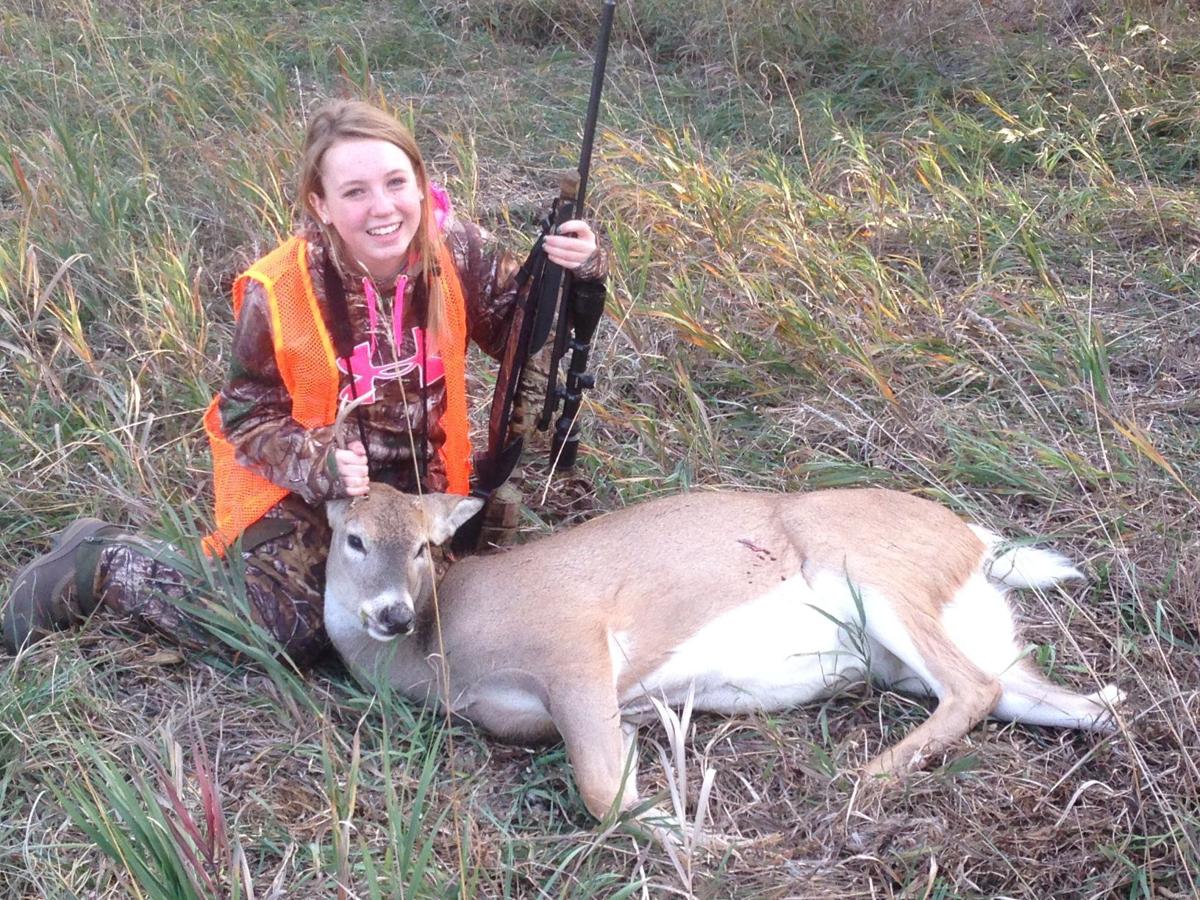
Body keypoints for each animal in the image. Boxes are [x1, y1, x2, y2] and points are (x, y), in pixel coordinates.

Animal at [323, 483, 1123, 836]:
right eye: (353, 537)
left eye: (422, 545)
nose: (391, 613)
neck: (441, 651)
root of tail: (980, 544)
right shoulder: (560, 710)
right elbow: (615, 774)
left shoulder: (573, 642)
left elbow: (600, 791)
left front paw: (702, 839)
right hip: (963, 635)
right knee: (1075, 702)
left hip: (868, 572)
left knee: (973, 689)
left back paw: (863, 778)